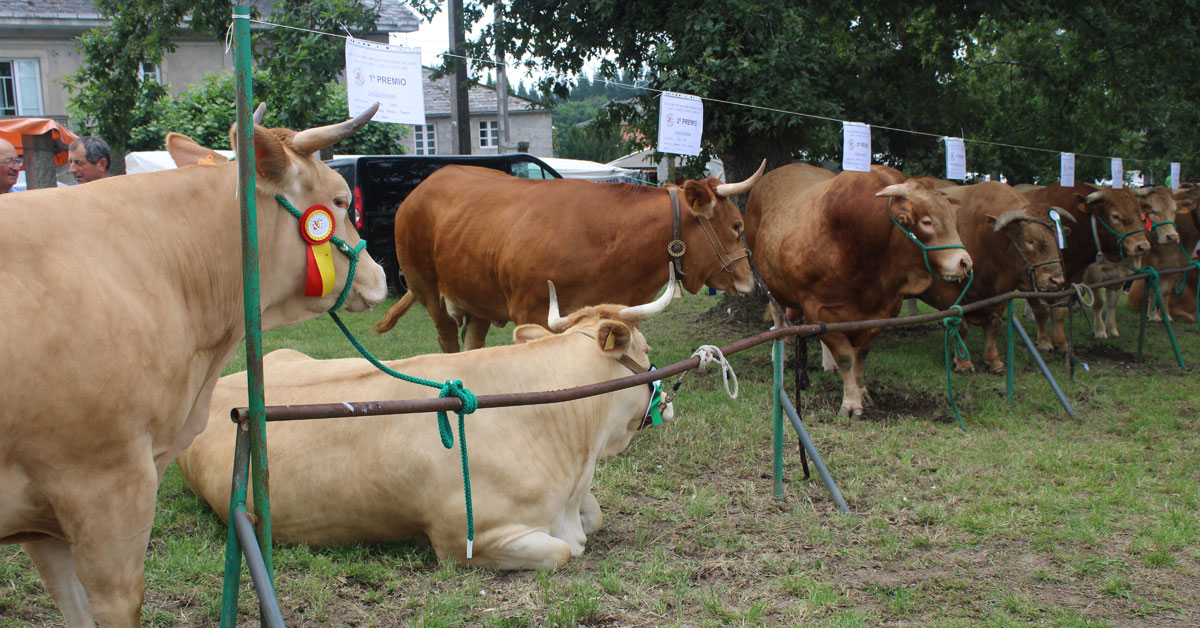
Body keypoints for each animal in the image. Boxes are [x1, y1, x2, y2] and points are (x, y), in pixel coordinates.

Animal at [739, 163, 974, 417]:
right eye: (927, 221)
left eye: (952, 218)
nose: (965, 262)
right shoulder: (818, 308)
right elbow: (845, 356)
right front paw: (851, 402)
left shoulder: (883, 312)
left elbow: (860, 355)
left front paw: (862, 391)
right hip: (772, 286)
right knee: (779, 324)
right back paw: (780, 359)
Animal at [1017, 182, 1147, 348]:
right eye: (1115, 215)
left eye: (1140, 214)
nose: (1143, 246)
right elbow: (1041, 309)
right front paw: (1045, 342)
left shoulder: (1069, 279)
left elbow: (1059, 311)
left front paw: (1062, 342)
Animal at [1128, 184, 1195, 324]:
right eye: (1153, 211)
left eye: (1174, 211)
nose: (1172, 237)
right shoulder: (1152, 262)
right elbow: (1154, 288)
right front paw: (1153, 315)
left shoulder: (1173, 267)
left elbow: (1165, 291)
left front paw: (1166, 316)